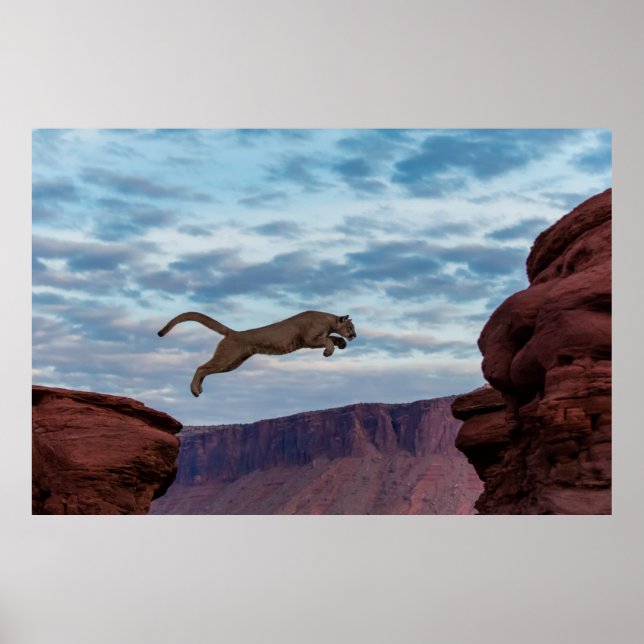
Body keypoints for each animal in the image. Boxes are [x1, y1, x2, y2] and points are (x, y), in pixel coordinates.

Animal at [157, 310, 357, 397]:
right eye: (350, 327)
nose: (355, 335)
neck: (327, 319)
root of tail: (234, 332)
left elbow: (331, 337)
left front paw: (341, 343)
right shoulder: (309, 339)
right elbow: (327, 340)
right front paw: (329, 351)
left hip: (233, 362)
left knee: (206, 369)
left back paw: (198, 389)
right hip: (228, 358)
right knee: (201, 367)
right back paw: (195, 390)